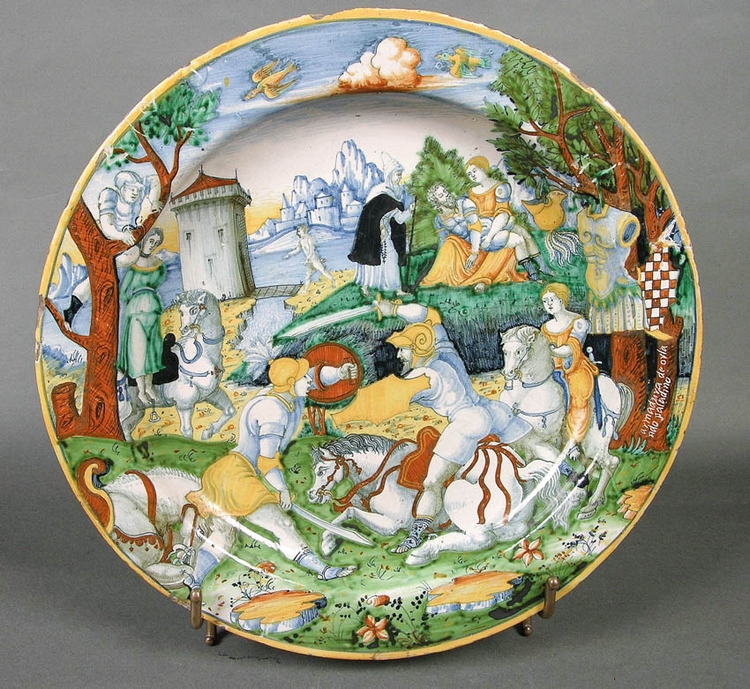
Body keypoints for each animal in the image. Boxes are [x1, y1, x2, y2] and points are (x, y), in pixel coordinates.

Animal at [119, 289, 236, 441]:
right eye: (181, 311)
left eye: (193, 310)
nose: (184, 329)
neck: (202, 355)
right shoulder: (184, 406)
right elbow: (187, 431)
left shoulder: (212, 394)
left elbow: (230, 410)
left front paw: (208, 432)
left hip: (137, 411)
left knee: (126, 428)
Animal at [307, 430, 567, 567]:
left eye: (321, 470)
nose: (311, 495)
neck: (382, 469)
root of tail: (518, 471)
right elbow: (346, 511)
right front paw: (329, 541)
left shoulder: (391, 524)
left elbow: (349, 512)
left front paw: (329, 540)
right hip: (512, 525)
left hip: (456, 496)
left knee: (482, 540)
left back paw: (421, 552)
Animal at [499, 324, 634, 520]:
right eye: (504, 351)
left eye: (519, 351)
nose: (507, 373)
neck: (527, 392)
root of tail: (614, 386)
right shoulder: (523, 444)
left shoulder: (538, 440)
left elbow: (552, 460)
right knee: (590, 464)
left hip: (596, 443)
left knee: (610, 463)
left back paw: (591, 505)